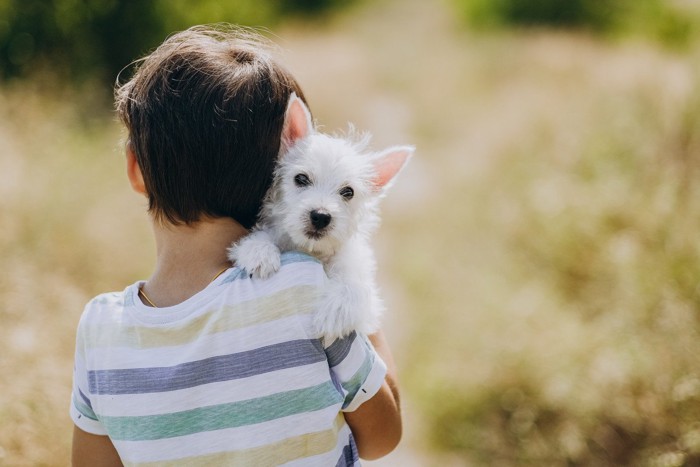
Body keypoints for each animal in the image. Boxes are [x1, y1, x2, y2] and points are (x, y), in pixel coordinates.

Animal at [230, 95, 412, 342]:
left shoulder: (362, 286)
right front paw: (259, 253)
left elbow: (356, 288)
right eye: (301, 179)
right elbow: (262, 237)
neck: (312, 250)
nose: (321, 216)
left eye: (348, 192)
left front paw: (333, 315)